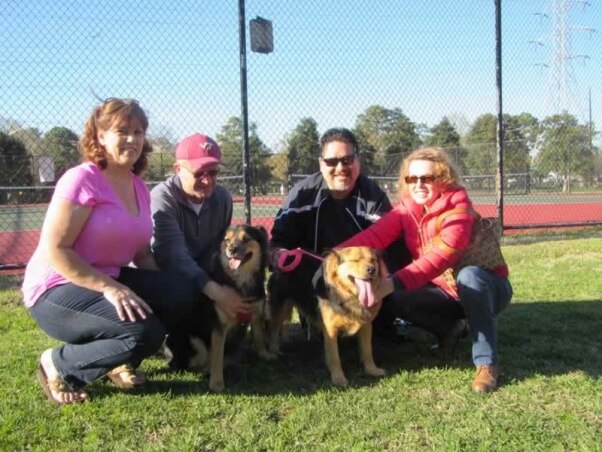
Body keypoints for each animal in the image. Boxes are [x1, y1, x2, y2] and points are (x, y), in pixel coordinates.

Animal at [162, 224, 270, 390]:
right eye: (227, 240)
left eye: (246, 239)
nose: (232, 249)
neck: (241, 282)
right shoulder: (218, 326)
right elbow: (217, 356)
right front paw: (217, 383)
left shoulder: (257, 314)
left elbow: (259, 337)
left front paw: (265, 355)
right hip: (195, 344)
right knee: (186, 363)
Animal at [268, 245, 384, 386]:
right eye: (355, 260)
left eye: (373, 260)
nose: (372, 270)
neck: (349, 295)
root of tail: (288, 257)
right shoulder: (330, 330)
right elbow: (334, 357)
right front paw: (338, 378)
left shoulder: (366, 324)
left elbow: (367, 351)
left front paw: (372, 370)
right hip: (280, 306)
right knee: (274, 328)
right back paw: (274, 350)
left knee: (284, 323)